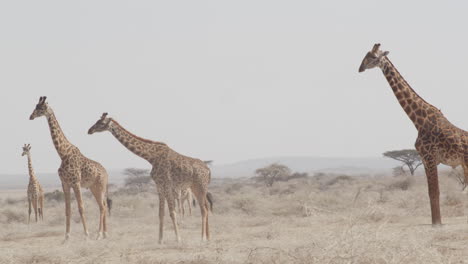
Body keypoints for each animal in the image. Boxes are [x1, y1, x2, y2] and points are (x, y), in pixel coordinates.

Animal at [29, 96, 109, 239]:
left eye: (41, 108)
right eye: (35, 106)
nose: (31, 116)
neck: (63, 154)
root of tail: (106, 172)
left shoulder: (76, 182)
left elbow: (81, 208)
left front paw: (86, 234)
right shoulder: (65, 184)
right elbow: (67, 210)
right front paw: (66, 237)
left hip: (101, 185)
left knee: (102, 206)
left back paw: (99, 234)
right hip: (93, 187)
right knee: (103, 205)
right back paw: (104, 234)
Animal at [88, 112, 212, 242]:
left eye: (101, 123)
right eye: (96, 121)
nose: (89, 130)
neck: (151, 157)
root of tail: (208, 170)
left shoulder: (167, 185)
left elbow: (172, 212)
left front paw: (178, 238)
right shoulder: (159, 186)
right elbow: (161, 213)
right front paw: (160, 240)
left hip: (200, 186)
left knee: (204, 209)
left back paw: (203, 237)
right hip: (195, 187)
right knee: (206, 207)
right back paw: (208, 237)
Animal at [358, 43, 468, 225]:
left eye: (373, 57)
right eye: (365, 55)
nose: (360, 68)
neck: (418, 121)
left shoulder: (430, 157)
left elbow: (435, 192)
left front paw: (437, 224)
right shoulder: (424, 159)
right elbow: (430, 193)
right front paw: (435, 222)